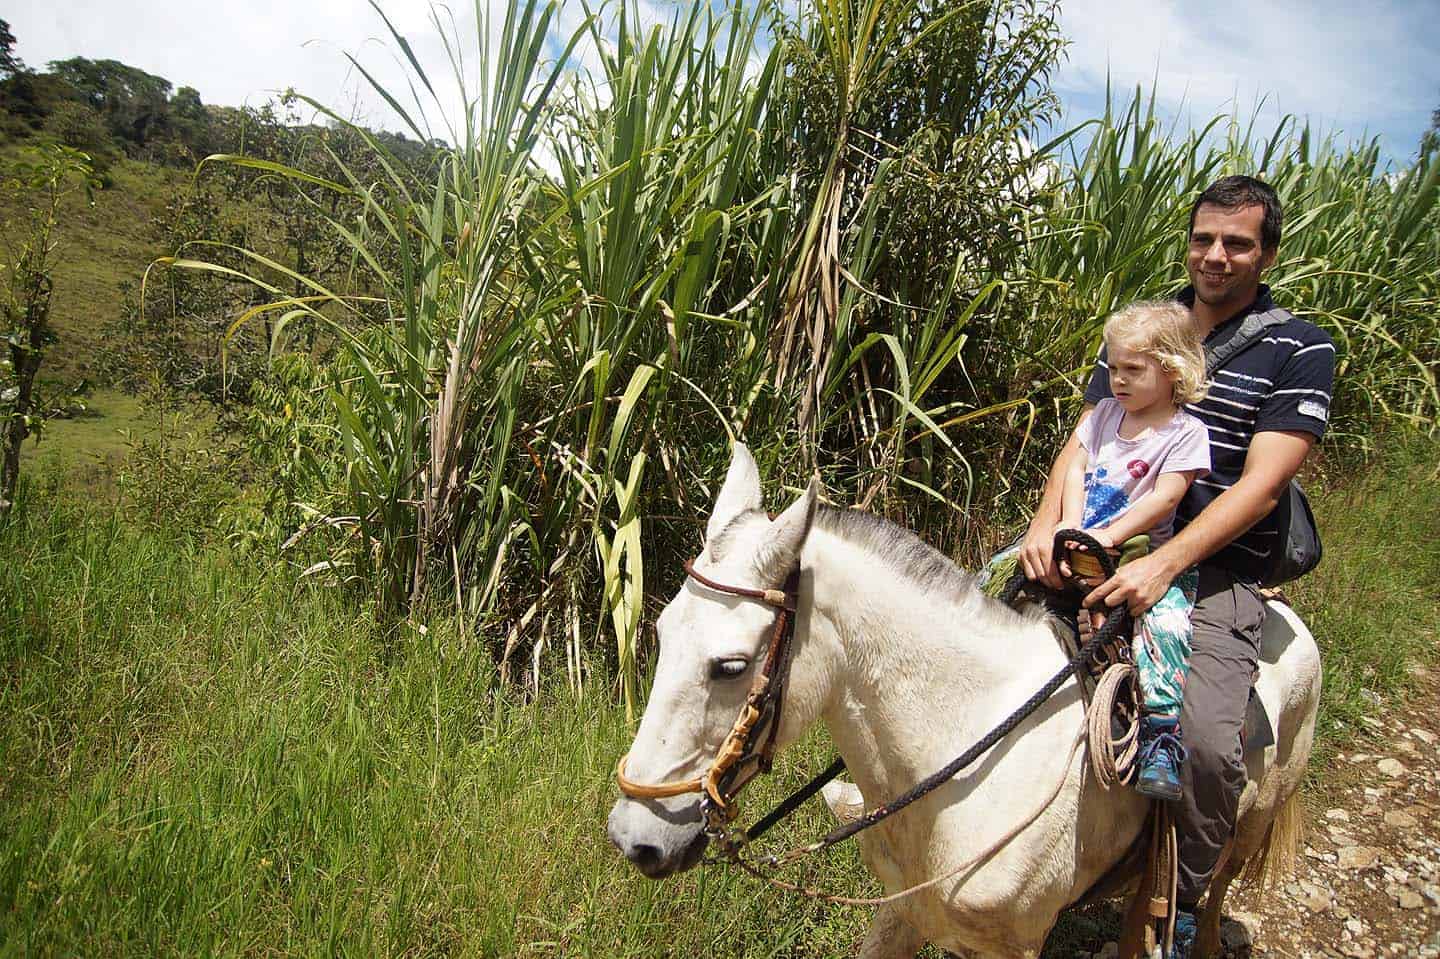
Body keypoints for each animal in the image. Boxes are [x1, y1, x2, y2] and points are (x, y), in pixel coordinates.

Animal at [601, 443, 1319, 950]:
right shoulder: (901, 913)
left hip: (1242, 833)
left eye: (731, 665)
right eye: (662, 633)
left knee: (1209, 897)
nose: (633, 839)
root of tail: (1289, 618)